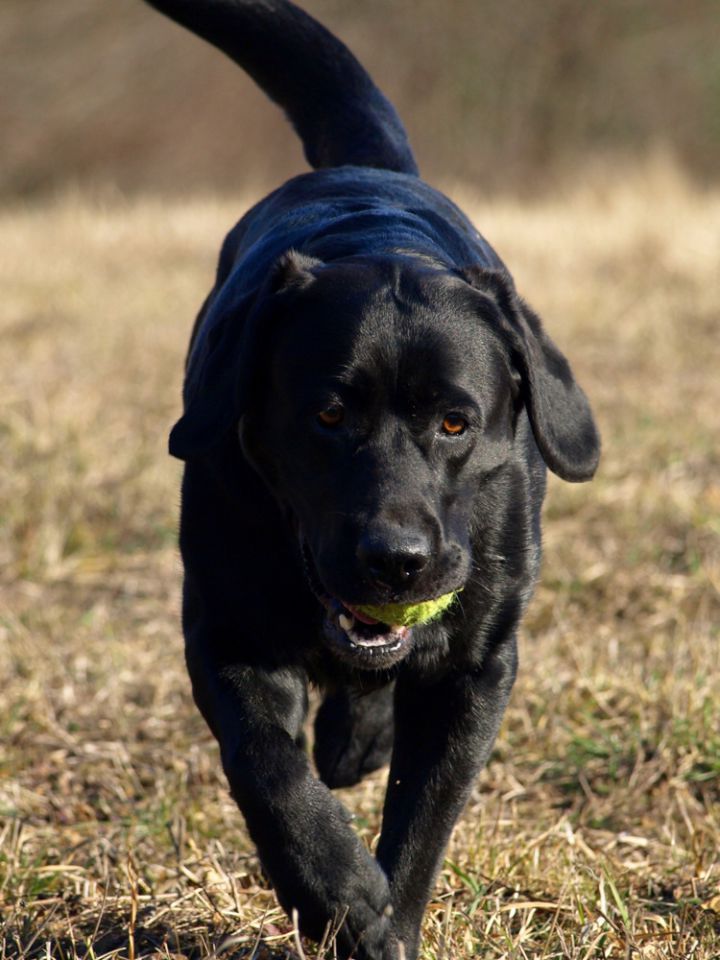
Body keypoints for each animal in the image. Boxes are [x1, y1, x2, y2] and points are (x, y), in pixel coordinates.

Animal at [143, 3, 600, 956]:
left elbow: (424, 817)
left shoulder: (478, 666)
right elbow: (270, 773)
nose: (397, 560)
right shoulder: (226, 629)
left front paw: (389, 920)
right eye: (327, 415)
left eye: (456, 422)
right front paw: (341, 895)